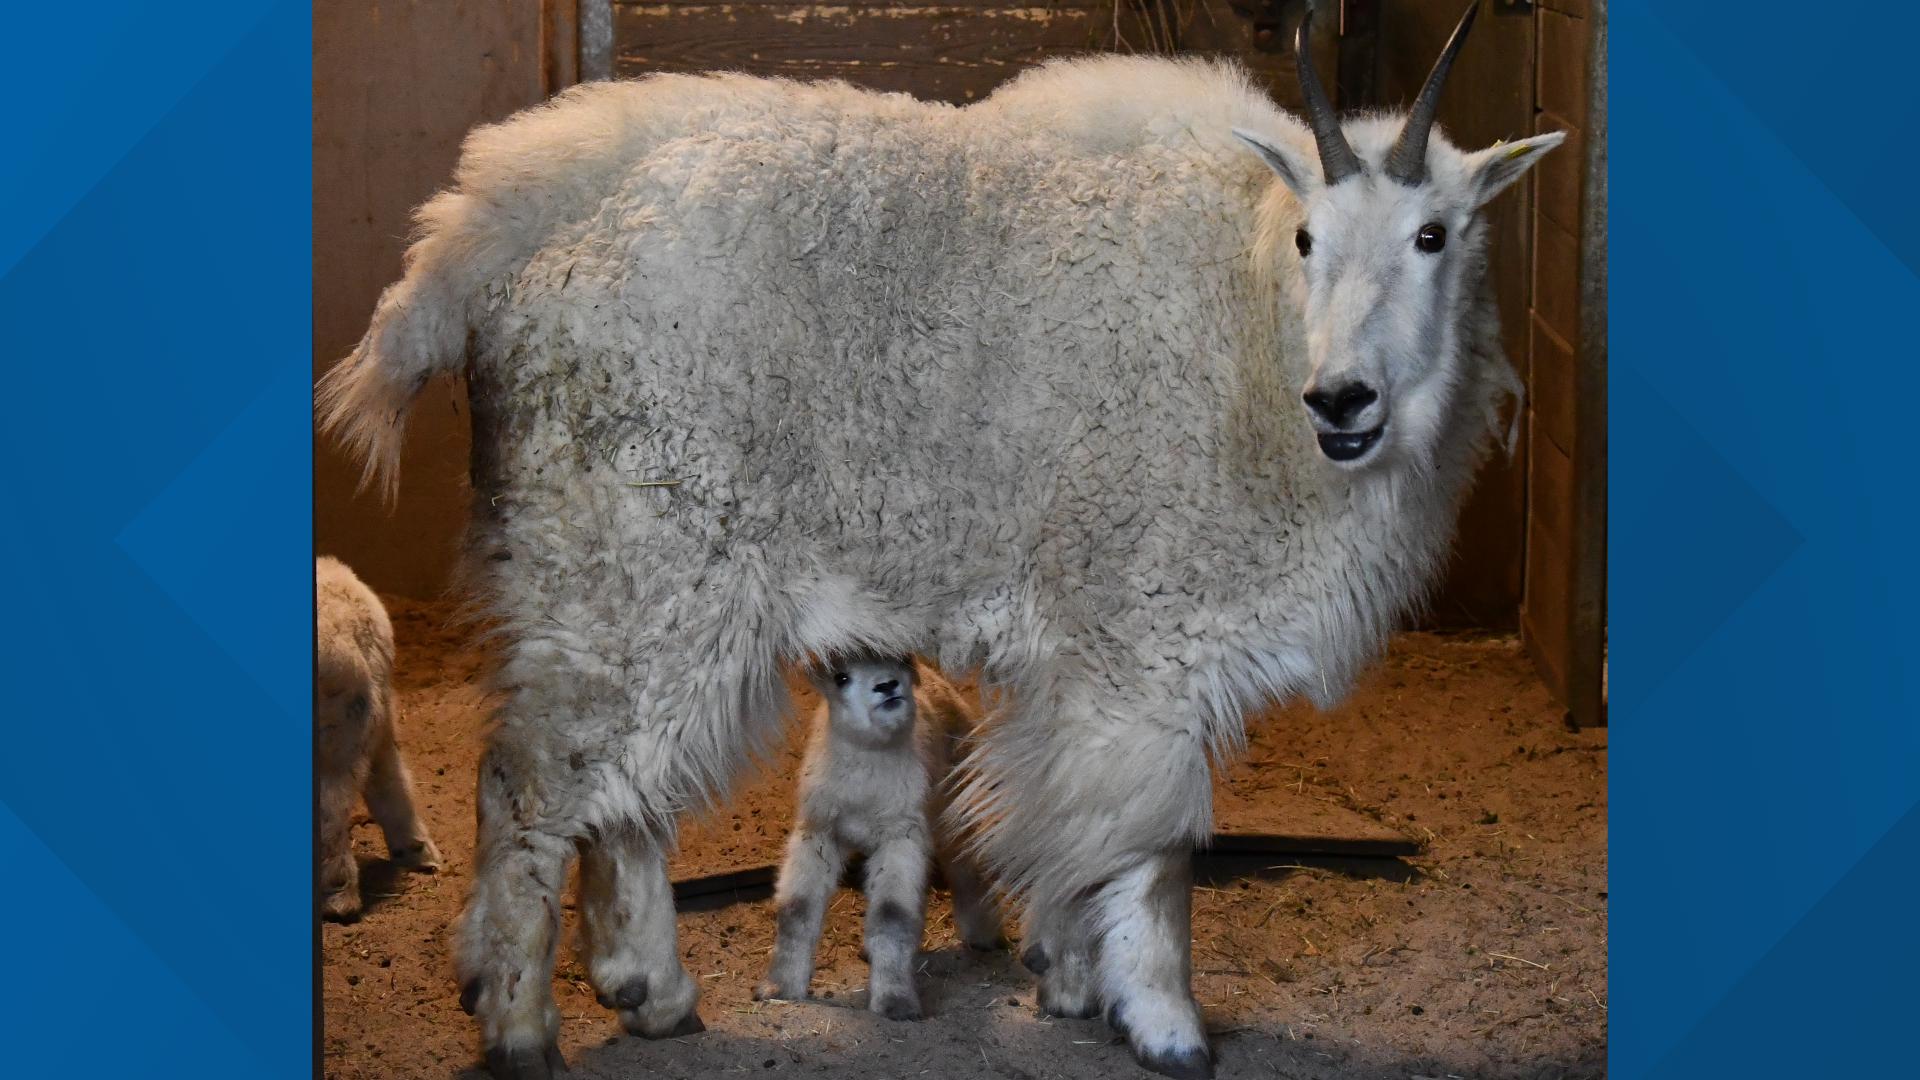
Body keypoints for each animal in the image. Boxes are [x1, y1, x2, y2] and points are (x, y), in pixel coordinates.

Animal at [756, 653, 1006, 1014]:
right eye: (840, 678)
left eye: (898, 662)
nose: (887, 685)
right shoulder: (818, 833)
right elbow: (796, 909)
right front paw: (779, 987)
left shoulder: (900, 836)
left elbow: (892, 914)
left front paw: (894, 1001)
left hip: (954, 806)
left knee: (967, 870)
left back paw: (984, 937)